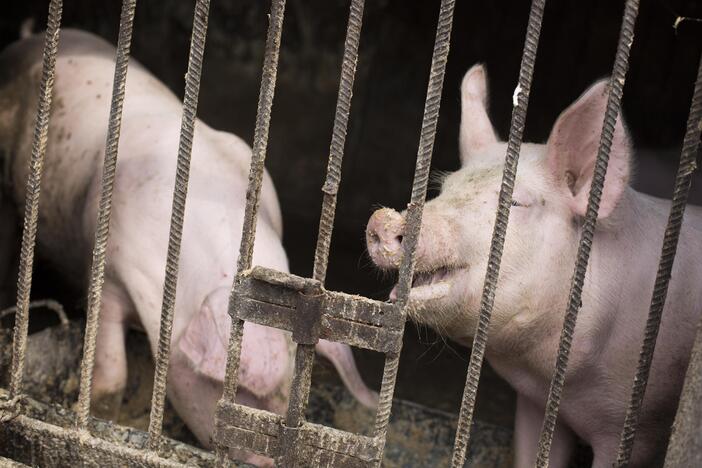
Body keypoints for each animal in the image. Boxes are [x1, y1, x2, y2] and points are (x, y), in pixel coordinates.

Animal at [0, 29, 380, 464]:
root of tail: (30, 41)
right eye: (238, 392)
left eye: (293, 397)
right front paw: (100, 414)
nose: (268, 459)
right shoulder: (109, 270)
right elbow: (113, 371)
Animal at [366, 64, 700, 466]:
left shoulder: (637, 429)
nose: (383, 221)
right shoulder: (532, 401)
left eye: (515, 203)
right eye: (446, 189)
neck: (567, 386)